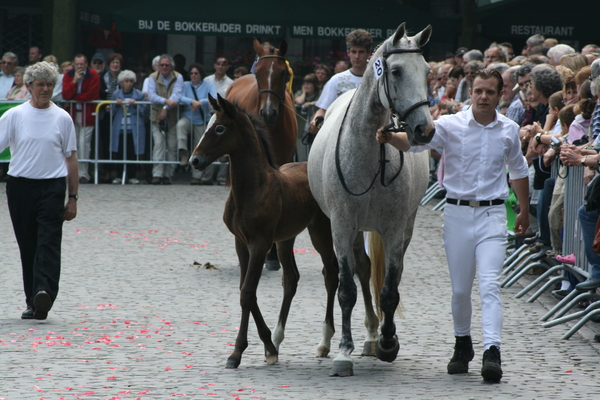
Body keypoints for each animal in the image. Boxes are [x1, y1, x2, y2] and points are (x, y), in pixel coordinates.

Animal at [192, 94, 340, 368]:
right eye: (207, 124)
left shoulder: (259, 243)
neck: (253, 188)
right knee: (291, 279)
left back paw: (324, 342)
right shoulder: (241, 243)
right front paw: (269, 346)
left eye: (220, 128)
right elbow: (246, 291)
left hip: (320, 231)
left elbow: (247, 293)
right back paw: (279, 338)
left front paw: (236, 354)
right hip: (285, 239)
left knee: (331, 274)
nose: (195, 161)